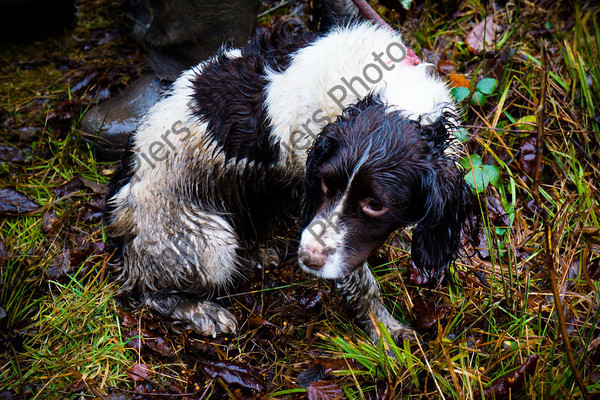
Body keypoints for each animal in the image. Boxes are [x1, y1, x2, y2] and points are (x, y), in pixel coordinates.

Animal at [104, 21, 474, 342]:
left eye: (376, 204)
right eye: (325, 185)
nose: (307, 259)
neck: (386, 94)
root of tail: (119, 224)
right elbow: (362, 285)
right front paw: (386, 333)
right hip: (208, 242)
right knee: (148, 291)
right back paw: (203, 310)